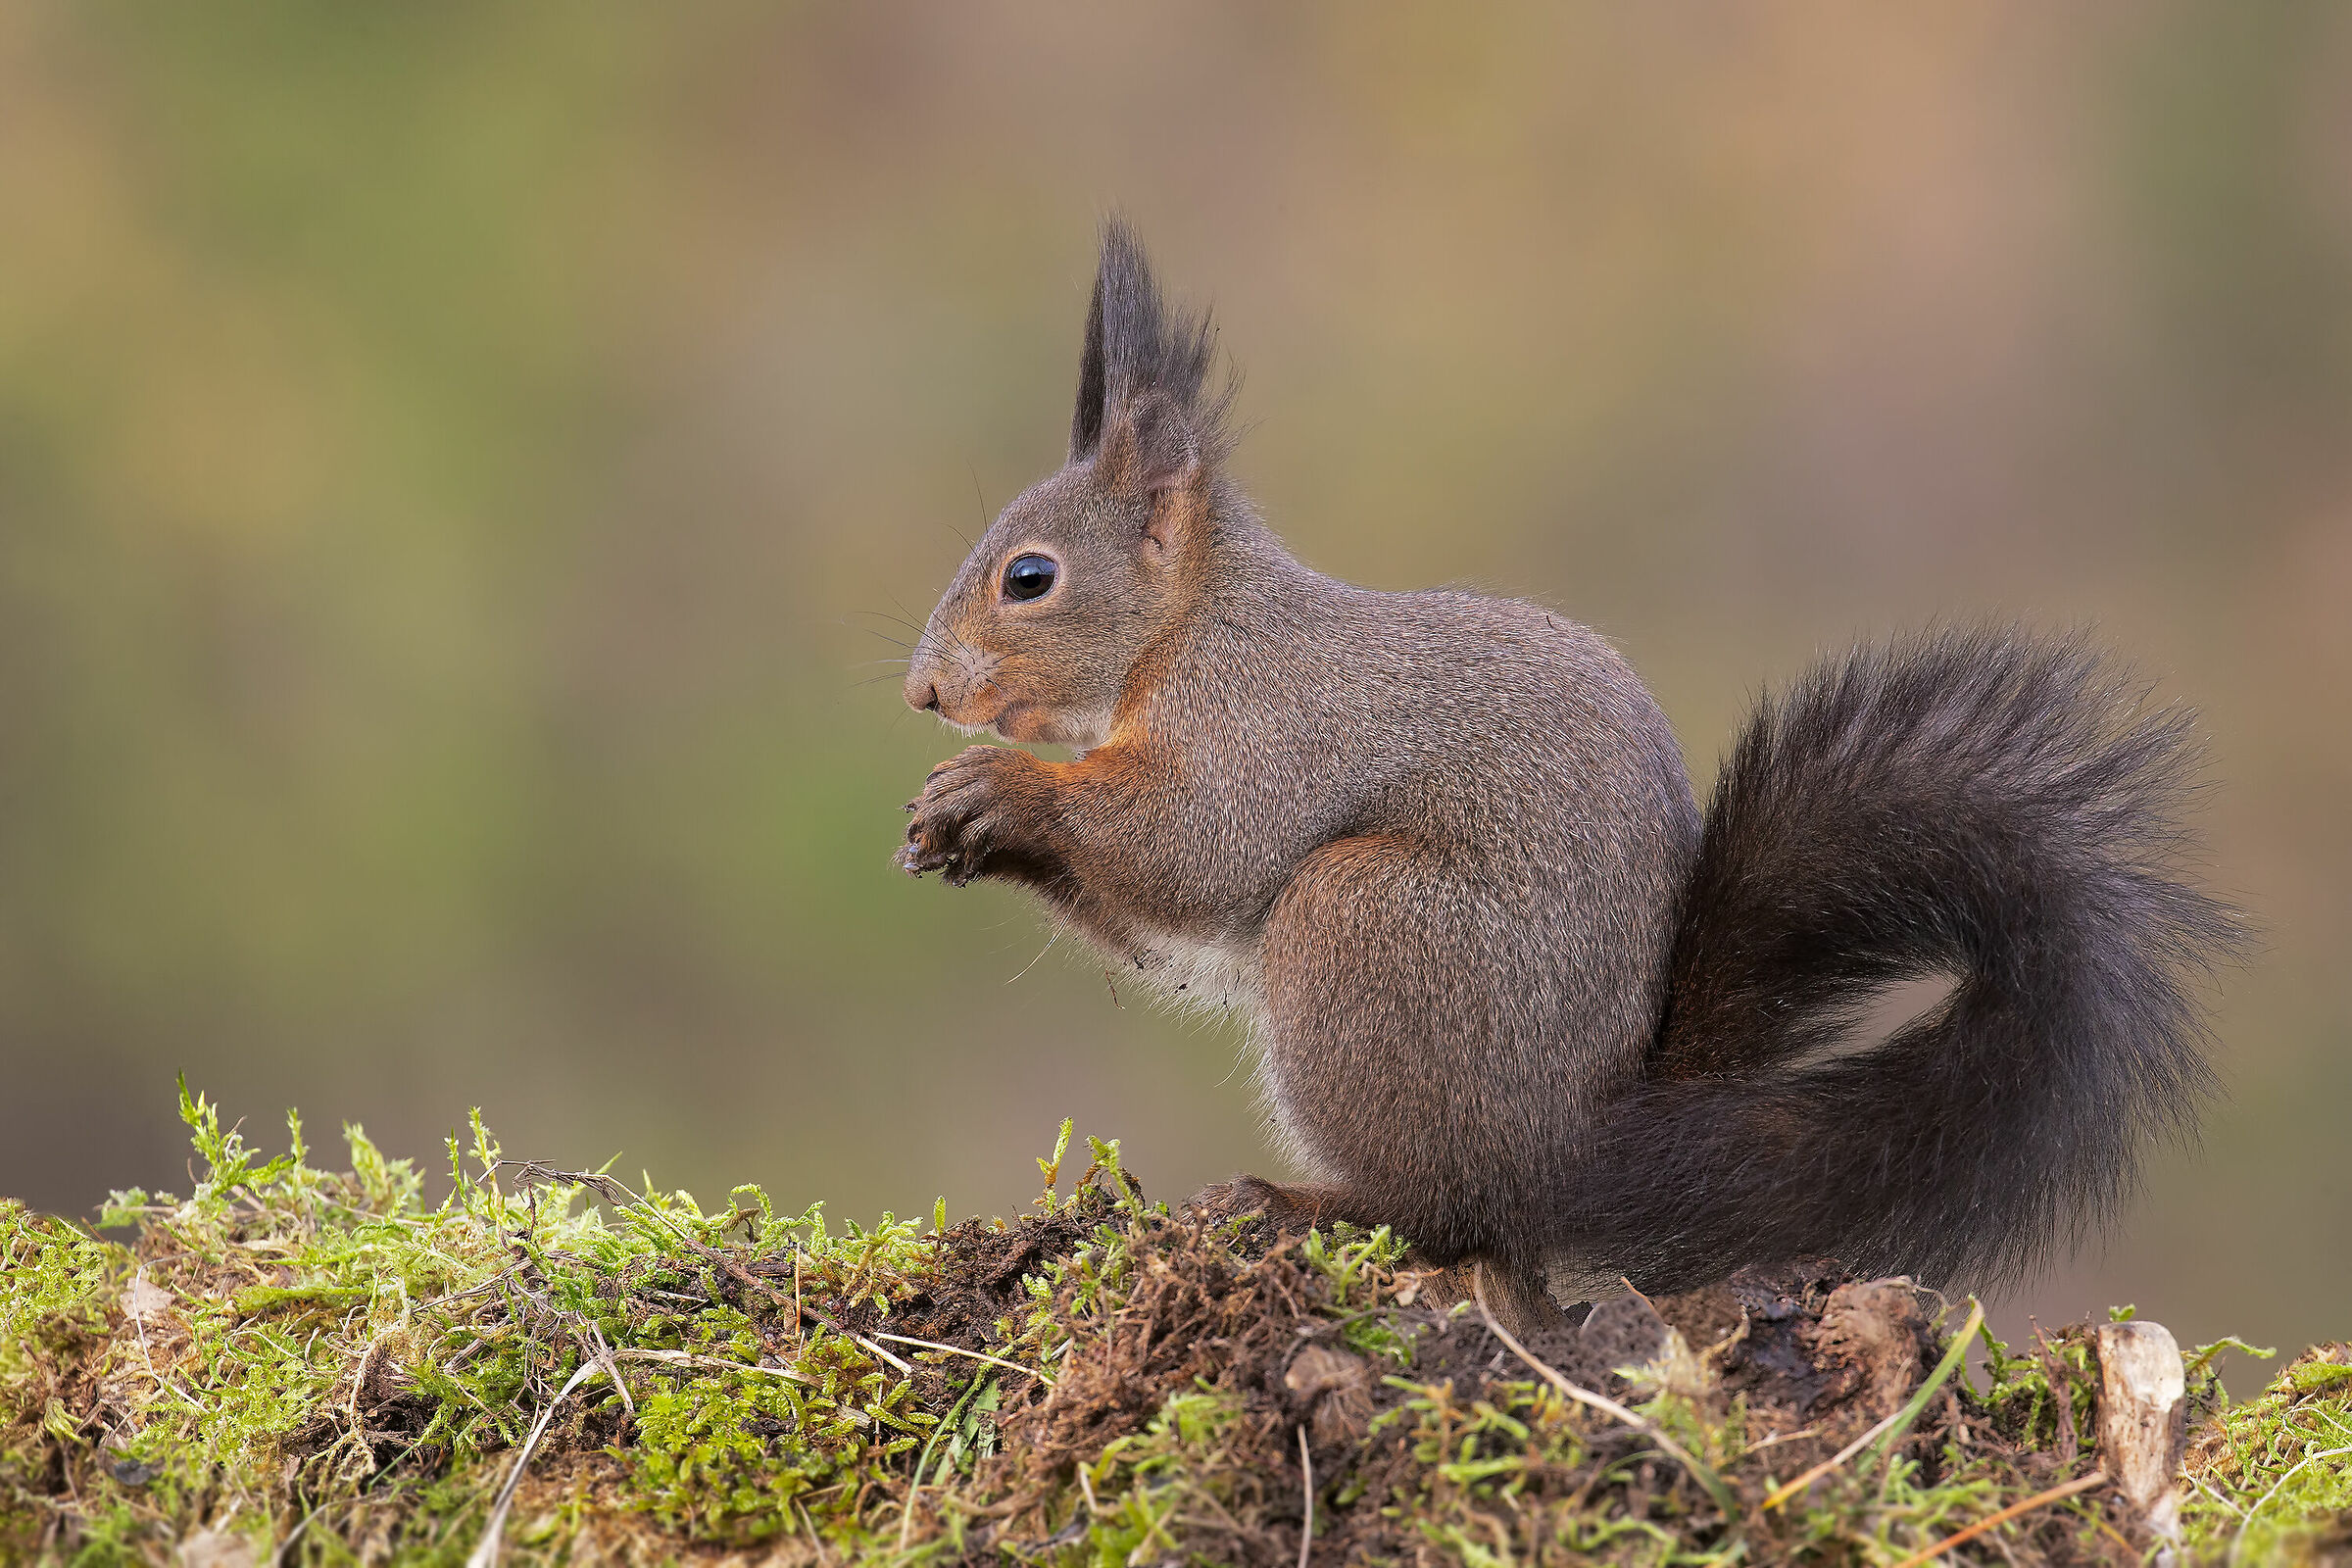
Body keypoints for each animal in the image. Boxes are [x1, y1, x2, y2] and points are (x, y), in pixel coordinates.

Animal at [895, 219, 2237, 1329]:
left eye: (1029, 578)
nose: (923, 693)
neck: (1189, 628)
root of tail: (1576, 1141)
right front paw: (961, 823)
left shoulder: (1264, 723)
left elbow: (1194, 845)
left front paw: (1001, 791)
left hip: (1361, 928)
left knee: (1447, 1210)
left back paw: (1293, 1204)